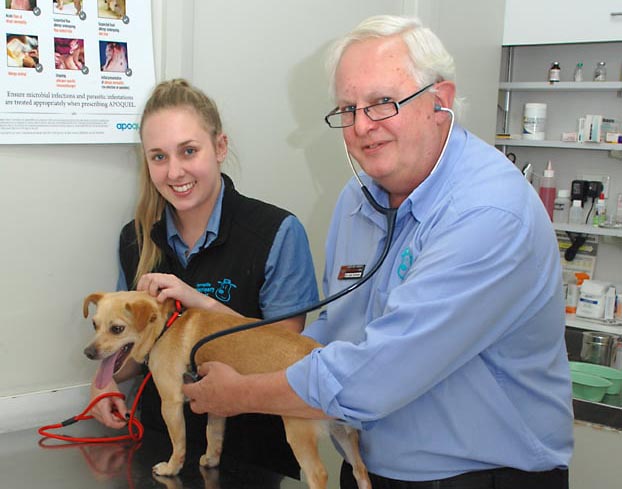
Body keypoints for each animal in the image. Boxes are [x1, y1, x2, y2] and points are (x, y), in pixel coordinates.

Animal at [82, 290, 370, 488]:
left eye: (117, 329)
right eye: (94, 325)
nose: (88, 352)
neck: (166, 326)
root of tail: (319, 354)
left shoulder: (171, 404)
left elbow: (179, 443)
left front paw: (171, 468)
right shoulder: (216, 402)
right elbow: (214, 436)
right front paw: (211, 460)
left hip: (299, 434)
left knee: (318, 474)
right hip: (345, 436)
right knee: (361, 472)